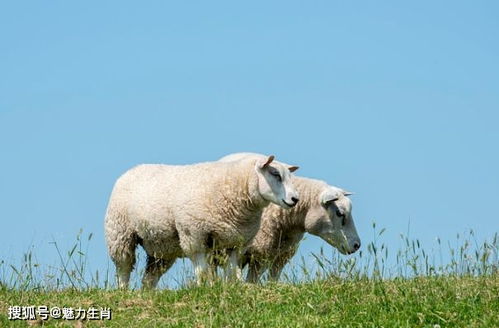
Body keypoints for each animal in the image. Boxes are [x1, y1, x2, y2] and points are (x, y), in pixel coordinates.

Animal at [104, 155, 300, 288]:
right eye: (275, 174)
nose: (295, 199)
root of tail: (133, 169)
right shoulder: (194, 236)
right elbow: (203, 270)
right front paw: (205, 288)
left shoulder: (235, 242)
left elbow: (231, 271)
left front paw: (230, 287)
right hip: (120, 234)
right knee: (123, 267)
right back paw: (123, 290)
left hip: (161, 246)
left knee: (150, 277)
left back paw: (147, 293)